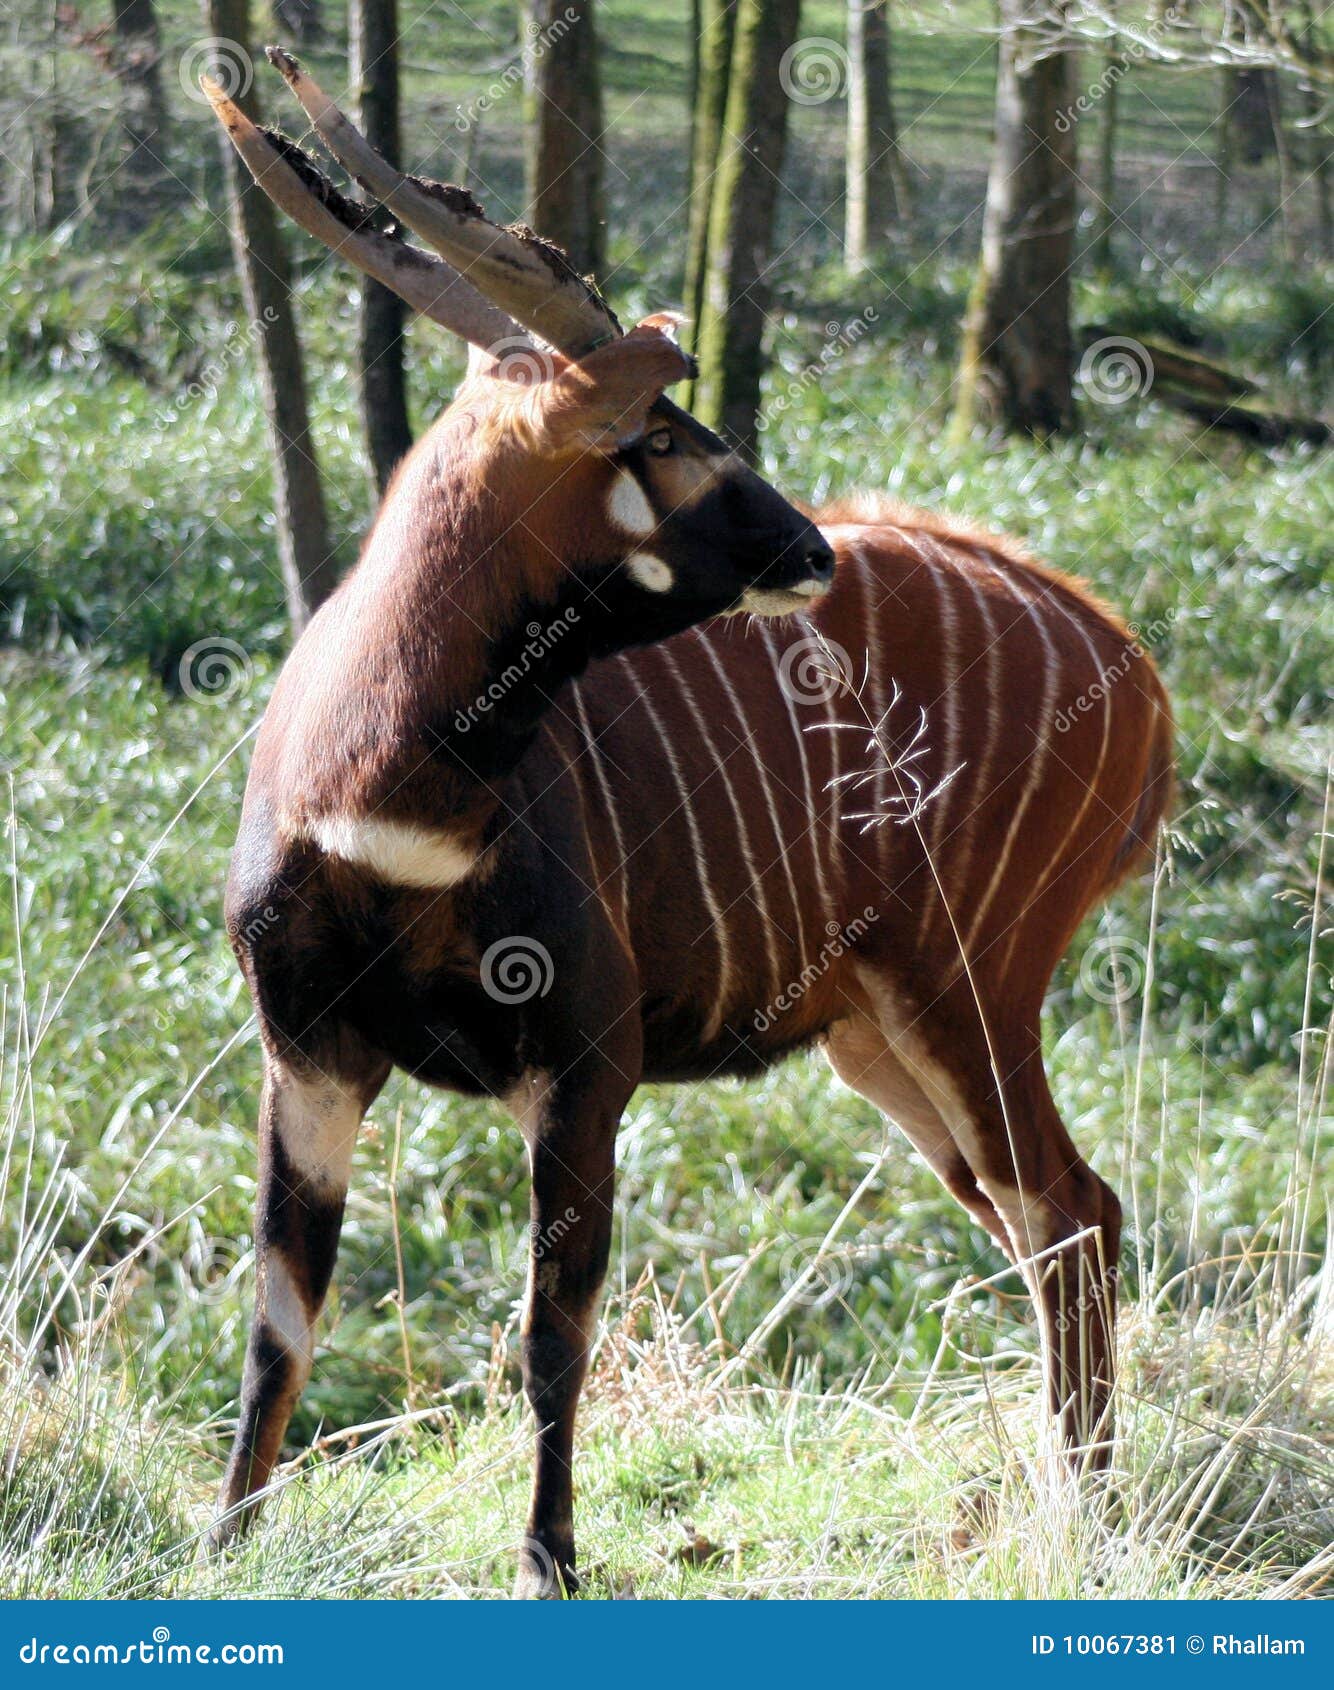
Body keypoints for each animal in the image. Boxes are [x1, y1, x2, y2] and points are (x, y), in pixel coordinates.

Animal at [204, 55, 1173, 1597]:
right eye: (656, 435)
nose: (805, 546)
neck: (381, 812)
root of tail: (1128, 668)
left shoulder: (581, 1068)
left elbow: (550, 1335)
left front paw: (546, 1560)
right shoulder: (307, 1058)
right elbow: (278, 1324)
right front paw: (225, 1540)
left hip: (968, 988)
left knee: (1071, 1208)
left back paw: (1079, 1517)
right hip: (875, 1035)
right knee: (1044, 1215)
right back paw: (1069, 1502)